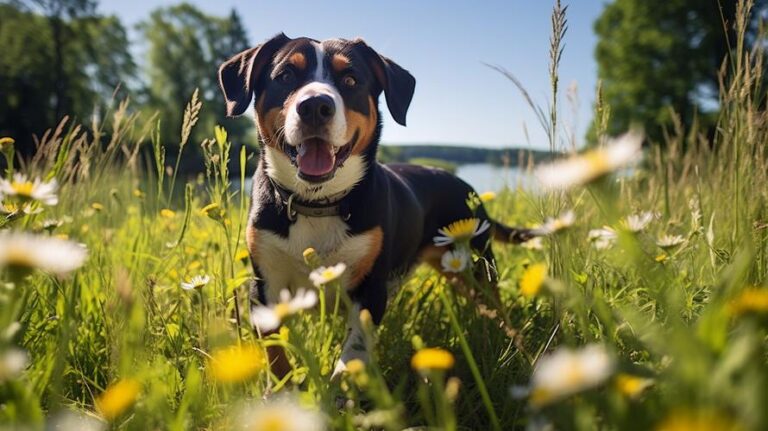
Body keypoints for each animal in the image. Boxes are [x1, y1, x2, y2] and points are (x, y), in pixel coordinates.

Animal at [216, 33, 536, 378]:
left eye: (350, 80)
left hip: (477, 265)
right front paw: (285, 387)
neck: (317, 204)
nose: (315, 106)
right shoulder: (265, 284)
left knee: (497, 310)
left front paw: (343, 389)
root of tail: (466, 187)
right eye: (286, 75)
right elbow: (276, 354)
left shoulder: (370, 289)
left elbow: (352, 356)